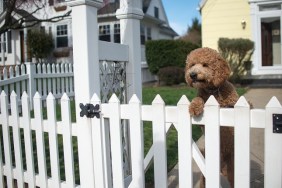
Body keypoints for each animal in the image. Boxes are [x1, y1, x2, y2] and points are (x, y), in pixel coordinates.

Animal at [185, 47, 238, 187]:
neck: (213, 91)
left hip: (232, 171)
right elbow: (198, 99)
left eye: (205, 65)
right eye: (192, 65)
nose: (192, 74)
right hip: (206, 174)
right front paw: (194, 107)